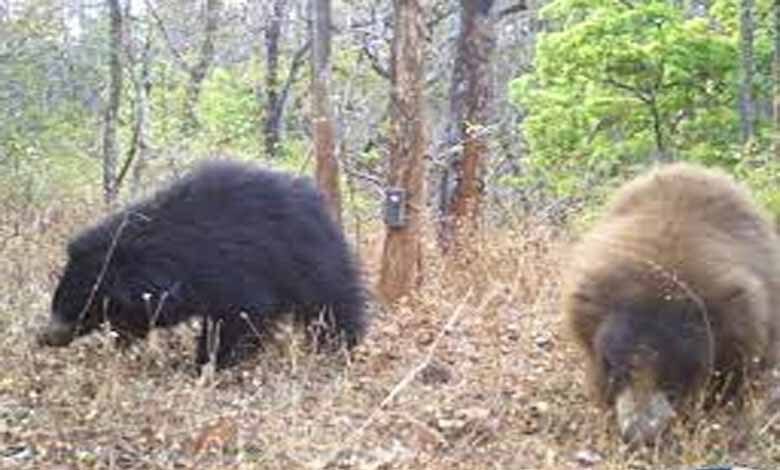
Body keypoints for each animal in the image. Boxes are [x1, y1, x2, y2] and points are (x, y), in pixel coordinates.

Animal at [38, 159, 368, 370]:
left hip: (311, 260)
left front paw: (207, 363)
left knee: (333, 304)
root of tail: (321, 205)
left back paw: (336, 348)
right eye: (60, 298)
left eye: (83, 305)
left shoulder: (236, 270)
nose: (46, 337)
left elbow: (239, 316)